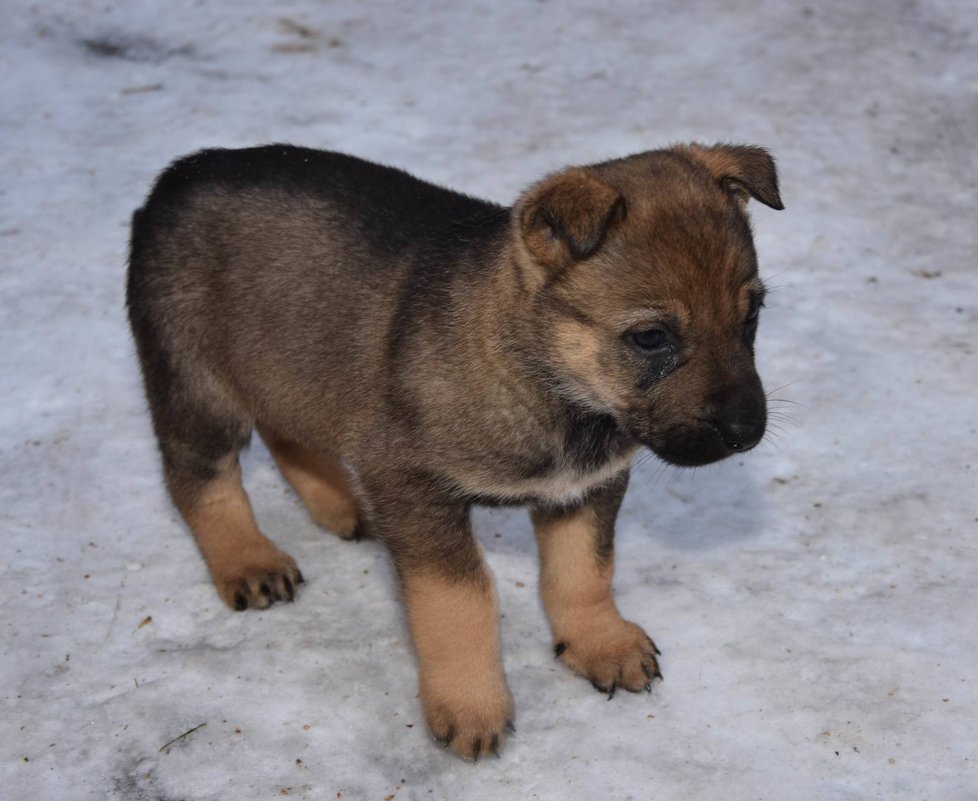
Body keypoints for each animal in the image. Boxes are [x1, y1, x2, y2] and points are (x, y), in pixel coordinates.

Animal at [127, 141, 784, 760]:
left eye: (752, 314)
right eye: (651, 338)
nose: (748, 432)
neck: (543, 377)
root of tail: (177, 175)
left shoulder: (587, 489)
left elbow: (584, 571)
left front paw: (601, 643)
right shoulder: (416, 491)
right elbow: (460, 600)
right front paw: (471, 706)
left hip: (293, 372)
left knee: (286, 434)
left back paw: (342, 501)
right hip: (197, 384)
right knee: (198, 479)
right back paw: (248, 560)